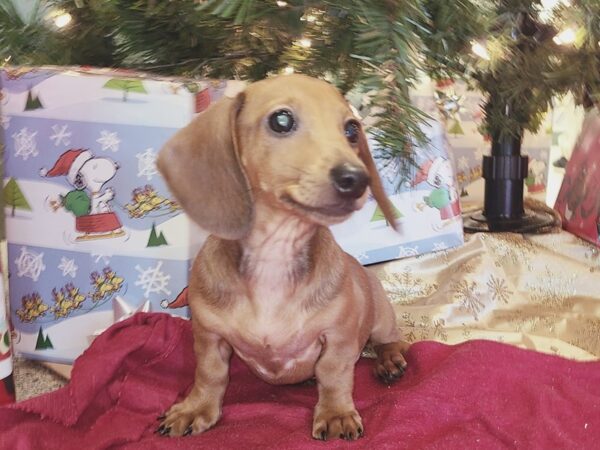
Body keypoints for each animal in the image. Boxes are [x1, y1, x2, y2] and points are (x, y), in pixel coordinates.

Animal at [156, 74, 408, 440]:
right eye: (282, 120)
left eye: (351, 129)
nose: (357, 179)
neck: (275, 254)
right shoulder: (208, 337)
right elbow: (210, 374)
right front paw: (195, 408)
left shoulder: (338, 337)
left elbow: (334, 373)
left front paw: (335, 413)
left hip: (380, 317)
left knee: (391, 341)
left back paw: (389, 360)